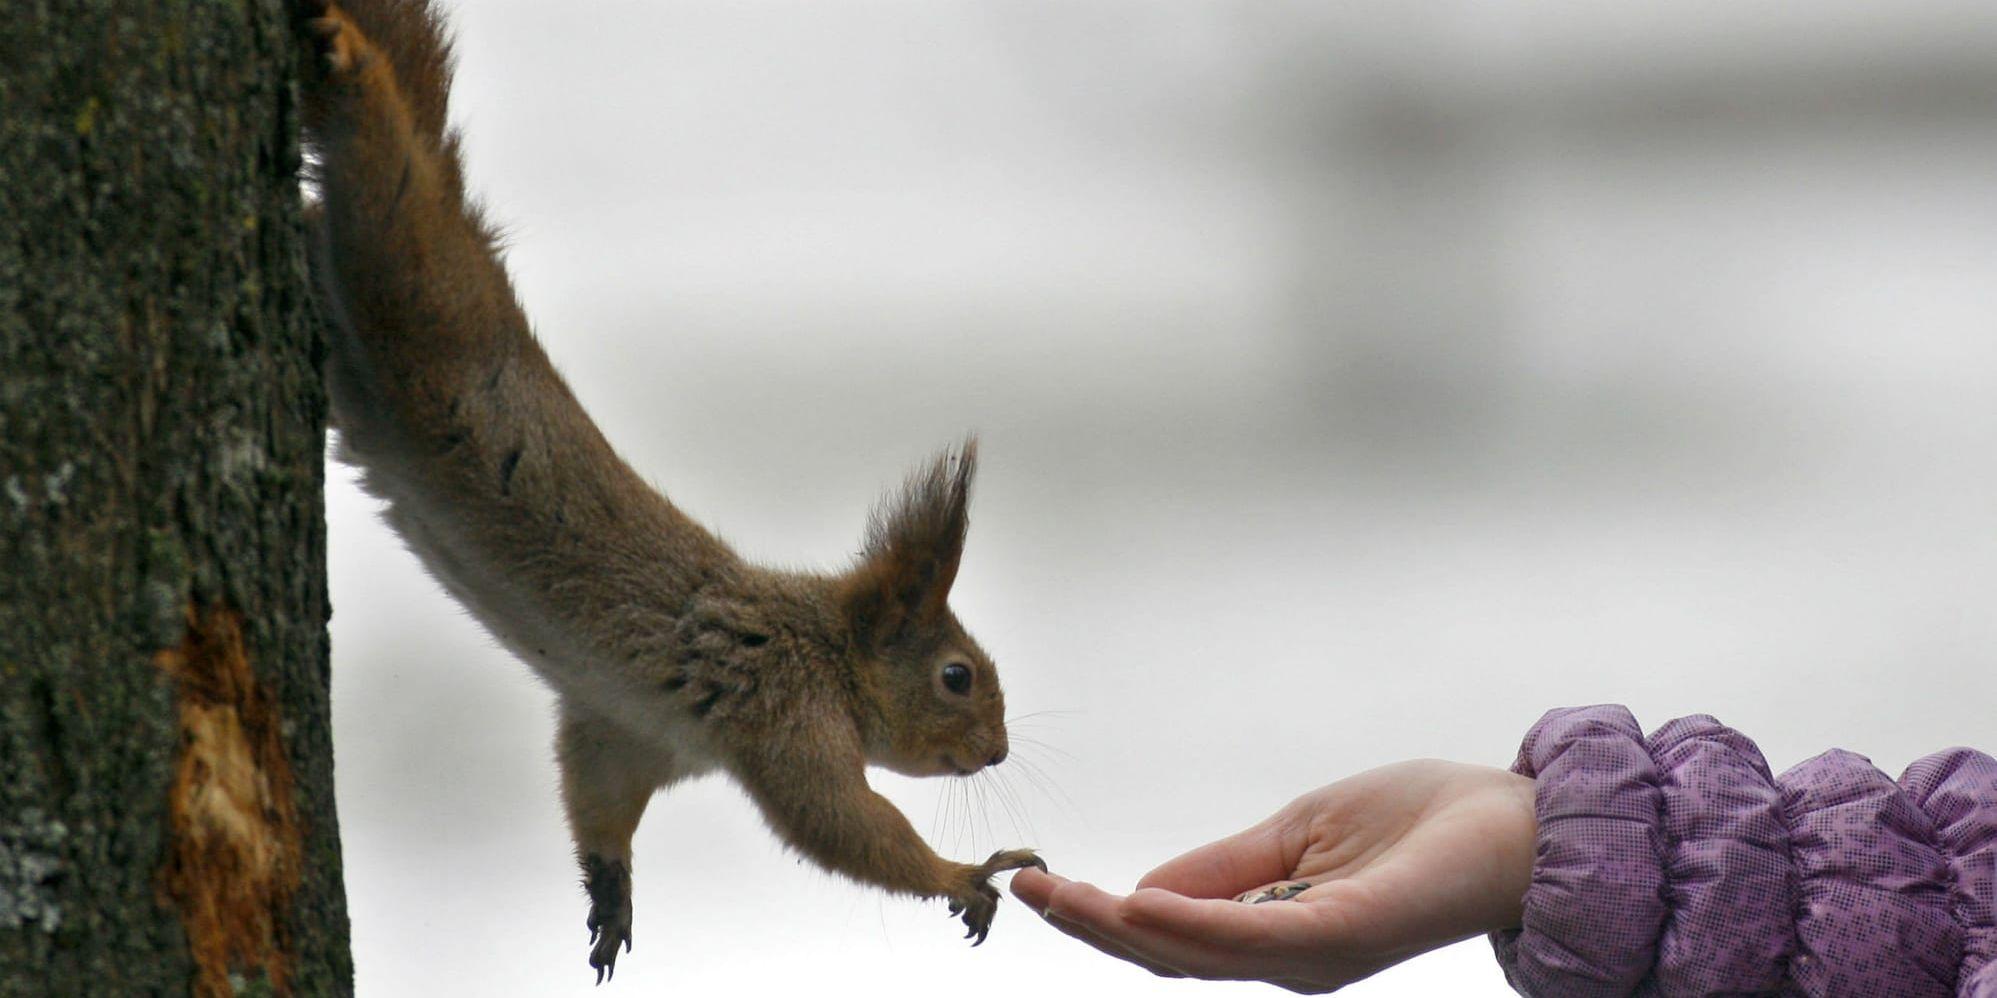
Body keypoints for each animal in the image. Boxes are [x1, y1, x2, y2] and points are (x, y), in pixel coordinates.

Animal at [295, 0, 1046, 982]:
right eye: (956, 676)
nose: (996, 751)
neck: (824, 650)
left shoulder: (630, 731)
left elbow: (597, 799)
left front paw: (611, 894)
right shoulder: (783, 715)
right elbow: (845, 828)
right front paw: (965, 874)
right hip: (414, 283)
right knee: (382, 173)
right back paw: (349, 57)